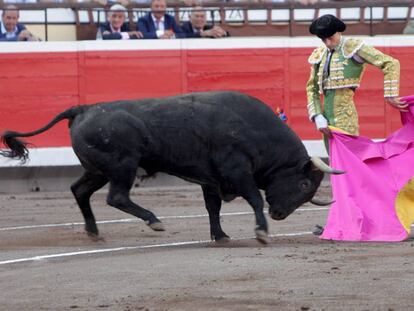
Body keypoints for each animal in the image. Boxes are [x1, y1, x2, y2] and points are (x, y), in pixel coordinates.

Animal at [0, 91, 342, 245]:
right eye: (304, 185)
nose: (279, 214)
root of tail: (82, 109)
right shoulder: (237, 171)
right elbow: (254, 198)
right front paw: (261, 231)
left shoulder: (210, 180)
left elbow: (213, 208)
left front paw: (220, 235)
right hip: (122, 166)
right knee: (117, 197)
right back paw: (154, 221)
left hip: (97, 170)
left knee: (79, 190)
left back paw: (94, 231)